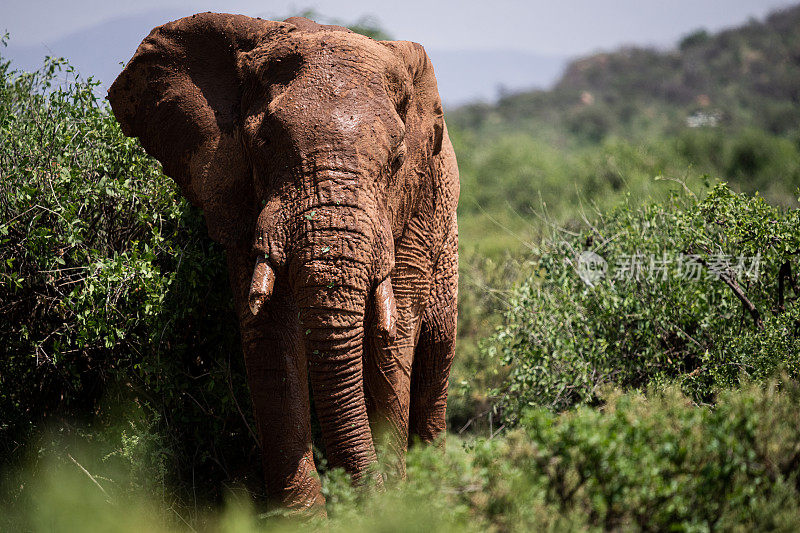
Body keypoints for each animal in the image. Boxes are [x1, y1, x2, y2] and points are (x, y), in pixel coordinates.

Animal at [108, 13, 456, 512]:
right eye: (263, 142)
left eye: (396, 159)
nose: (367, 501)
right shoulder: (237, 196)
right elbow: (270, 335)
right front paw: (305, 517)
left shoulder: (419, 203)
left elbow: (392, 337)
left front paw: (395, 506)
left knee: (436, 356)